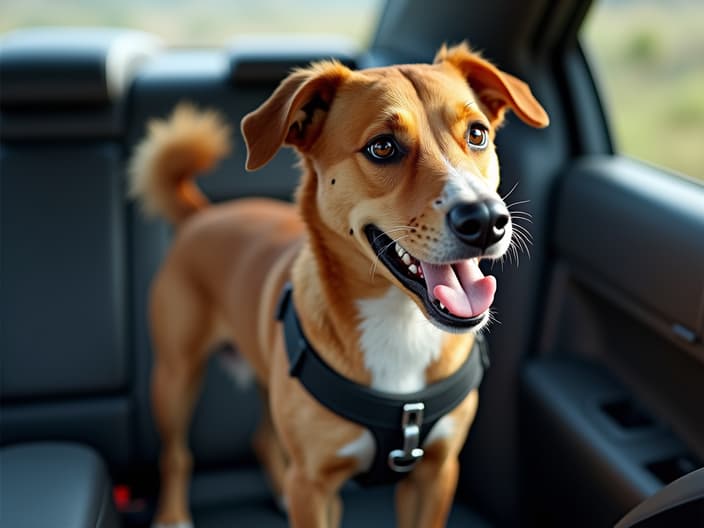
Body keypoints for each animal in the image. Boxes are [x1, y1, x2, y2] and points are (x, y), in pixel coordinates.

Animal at [132, 42, 552, 528]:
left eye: (478, 134)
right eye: (383, 147)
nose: (485, 219)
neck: (399, 322)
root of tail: (202, 215)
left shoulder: (436, 473)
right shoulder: (315, 487)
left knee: (262, 436)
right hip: (175, 376)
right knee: (175, 453)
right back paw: (172, 514)